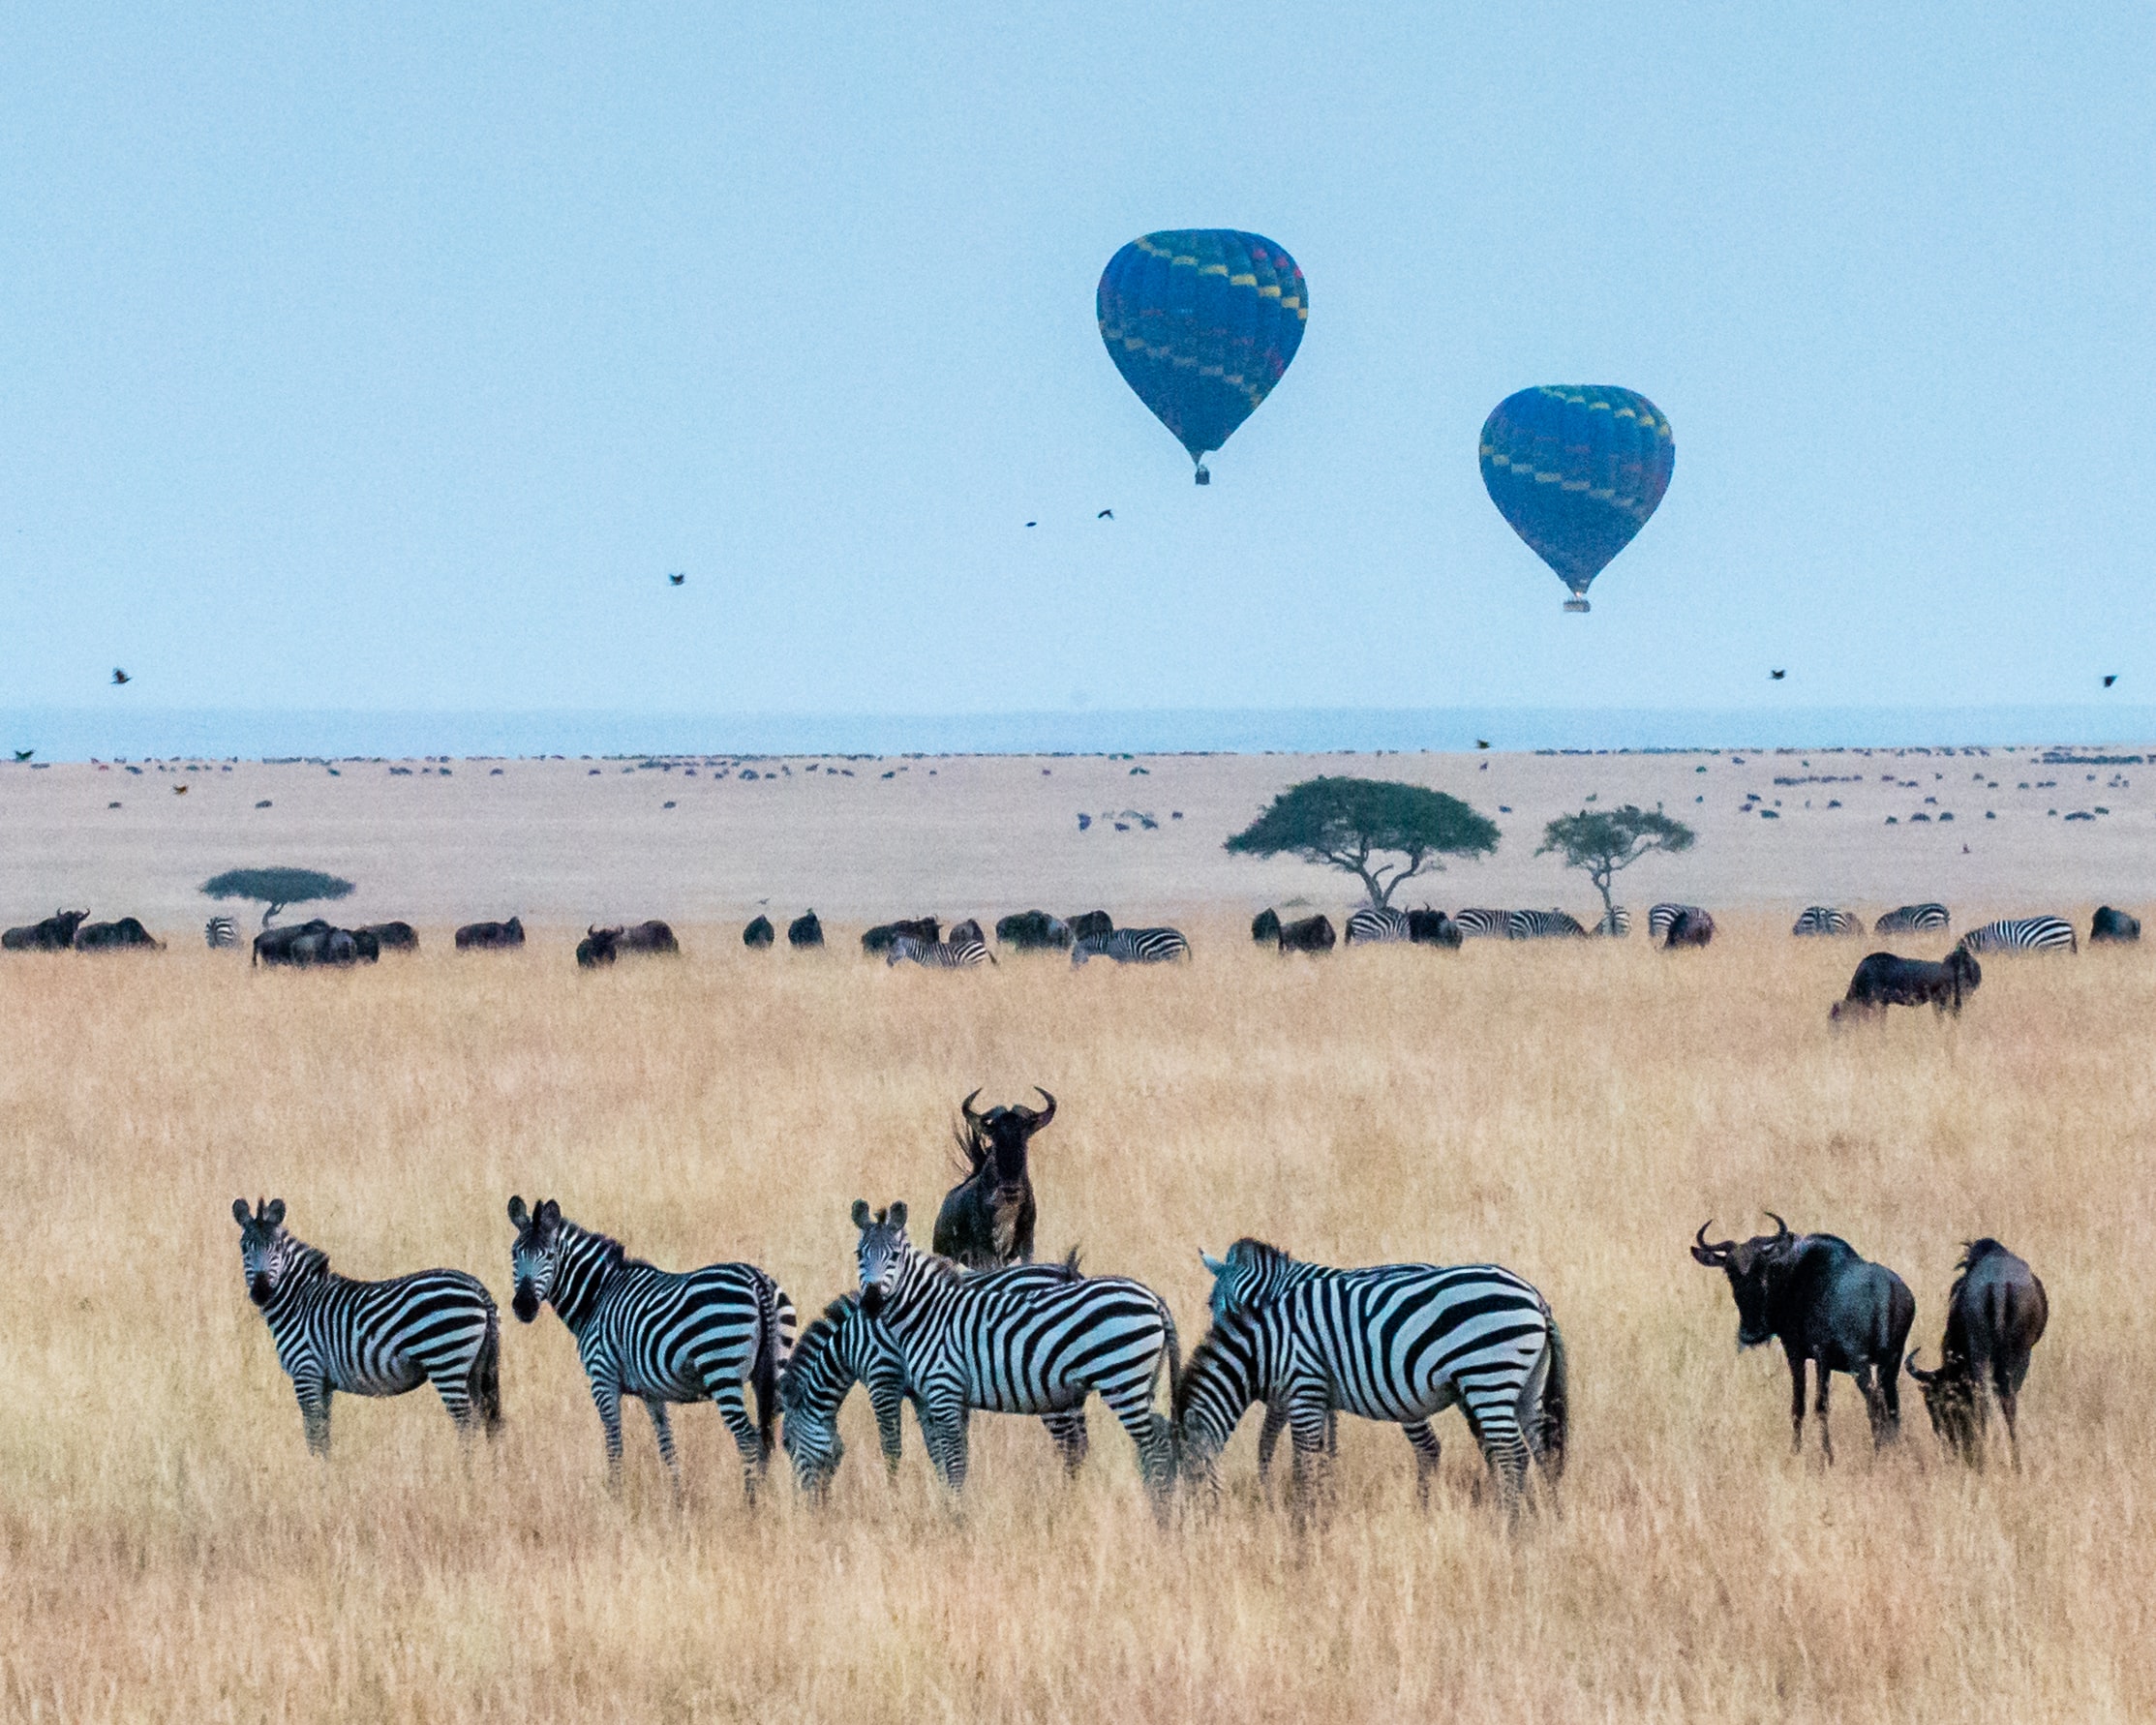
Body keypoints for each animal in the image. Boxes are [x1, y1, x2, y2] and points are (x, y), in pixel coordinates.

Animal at [232, 1198, 500, 1457]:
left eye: (276, 1248)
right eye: (244, 1247)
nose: (261, 1292)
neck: (299, 1300)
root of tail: (475, 1286)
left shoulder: (306, 1372)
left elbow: (313, 1433)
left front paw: (313, 1469)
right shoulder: (323, 1381)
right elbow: (324, 1434)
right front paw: (326, 1469)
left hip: (446, 1360)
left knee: (465, 1422)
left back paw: (464, 1469)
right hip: (476, 1366)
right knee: (485, 1418)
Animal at [508, 1198, 797, 1492]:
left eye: (549, 1256)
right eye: (514, 1254)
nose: (524, 1306)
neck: (598, 1295)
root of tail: (757, 1281)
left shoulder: (603, 1379)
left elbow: (614, 1444)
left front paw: (616, 1494)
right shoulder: (652, 1393)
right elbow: (667, 1445)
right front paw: (677, 1495)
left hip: (721, 1369)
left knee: (748, 1438)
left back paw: (750, 1499)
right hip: (775, 1369)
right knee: (777, 1436)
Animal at [775, 1250, 1095, 1492]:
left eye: (787, 1445)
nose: (806, 1507)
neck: (851, 1342)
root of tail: (1067, 1272)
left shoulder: (883, 1378)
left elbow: (891, 1447)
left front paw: (893, 1495)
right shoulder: (922, 1391)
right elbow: (937, 1450)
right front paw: (947, 1492)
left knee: (1071, 1446)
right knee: (1080, 1443)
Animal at [849, 1207, 1181, 1500]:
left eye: (895, 1256)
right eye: (858, 1255)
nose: (871, 1302)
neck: (928, 1313)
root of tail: (1154, 1299)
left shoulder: (922, 1386)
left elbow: (926, 1454)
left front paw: (943, 1509)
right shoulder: (935, 1396)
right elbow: (948, 1456)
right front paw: (949, 1501)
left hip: (1120, 1379)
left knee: (1152, 1446)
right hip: (1134, 1384)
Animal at [1181, 1250, 1569, 1509]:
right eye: (1210, 1304)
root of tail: (1535, 1297)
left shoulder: (1301, 1381)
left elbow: (1289, 1448)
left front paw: (1298, 1502)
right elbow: (1303, 1445)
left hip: (1482, 1377)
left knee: (1498, 1451)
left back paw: (1507, 1517)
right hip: (1518, 1386)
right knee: (1536, 1448)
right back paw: (1545, 1514)